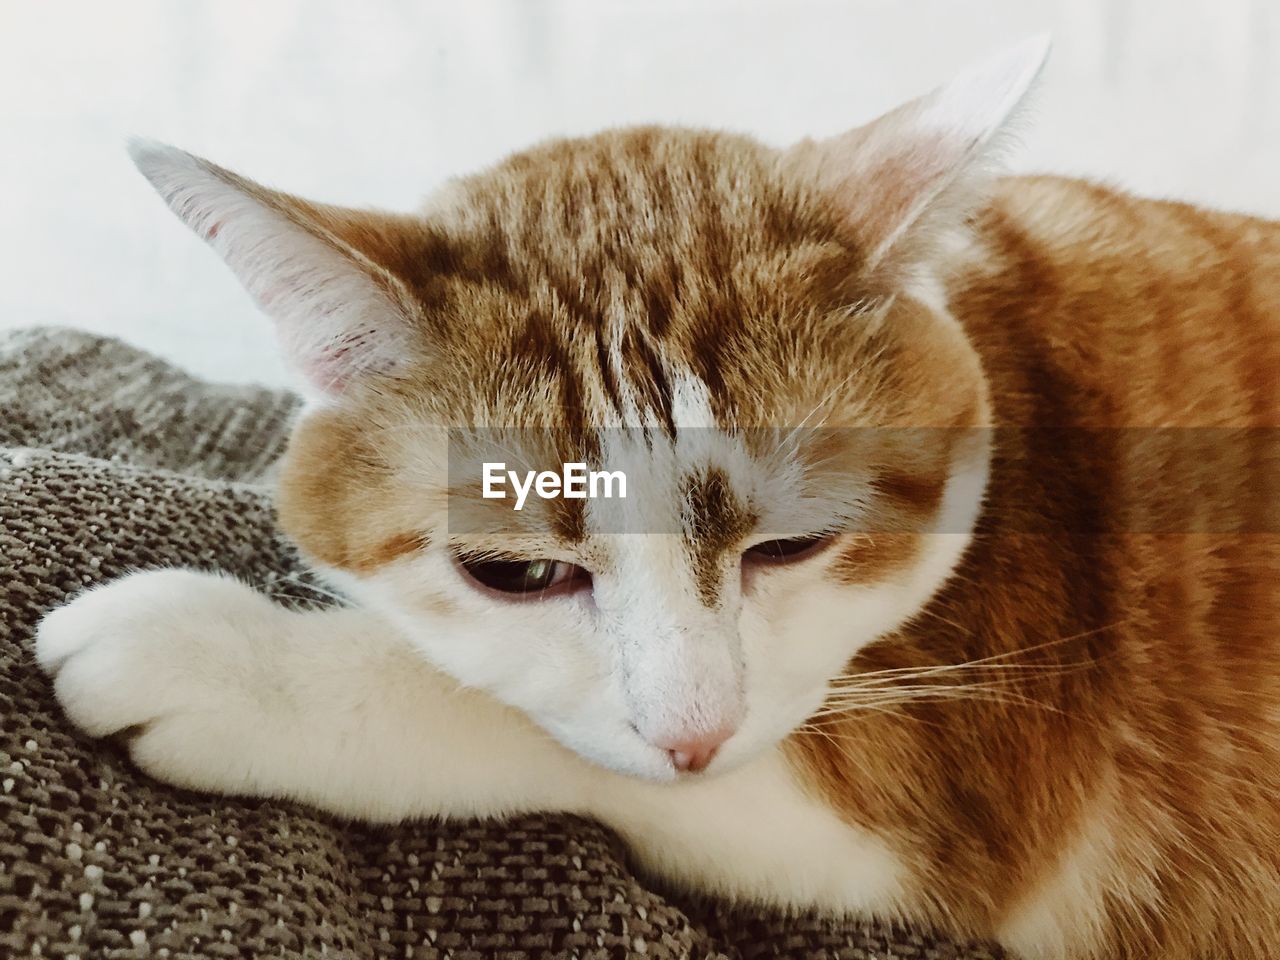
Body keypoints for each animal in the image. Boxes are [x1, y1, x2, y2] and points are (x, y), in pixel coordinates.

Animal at [35, 39, 1280, 960]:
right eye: (516, 573)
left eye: (790, 546)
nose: (694, 736)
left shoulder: (946, 781)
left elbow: (511, 720)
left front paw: (240, 662)